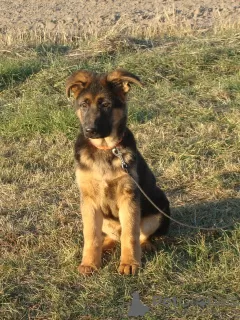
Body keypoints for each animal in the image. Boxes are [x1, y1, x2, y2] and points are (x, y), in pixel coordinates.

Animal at [66, 70, 171, 276]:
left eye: (106, 105)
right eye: (84, 105)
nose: (90, 130)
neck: (106, 148)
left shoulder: (129, 196)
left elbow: (131, 234)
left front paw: (129, 262)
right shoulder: (89, 201)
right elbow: (91, 235)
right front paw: (90, 263)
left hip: (160, 208)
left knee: (137, 235)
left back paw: (145, 246)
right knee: (112, 237)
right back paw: (105, 246)